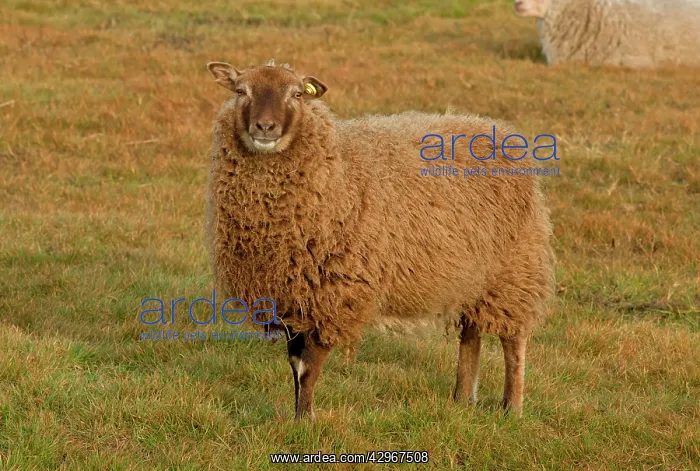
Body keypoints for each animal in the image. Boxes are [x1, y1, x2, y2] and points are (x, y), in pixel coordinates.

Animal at [205, 59, 556, 420]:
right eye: (240, 91)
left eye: (297, 94)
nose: (265, 127)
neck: (337, 171)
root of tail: (496, 128)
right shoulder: (291, 295)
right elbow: (294, 362)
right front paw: (297, 415)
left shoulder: (335, 292)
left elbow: (308, 366)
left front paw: (305, 420)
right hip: (473, 276)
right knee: (471, 335)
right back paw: (462, 399)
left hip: (514, 270)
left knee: (514, 341)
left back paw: (511, 408)